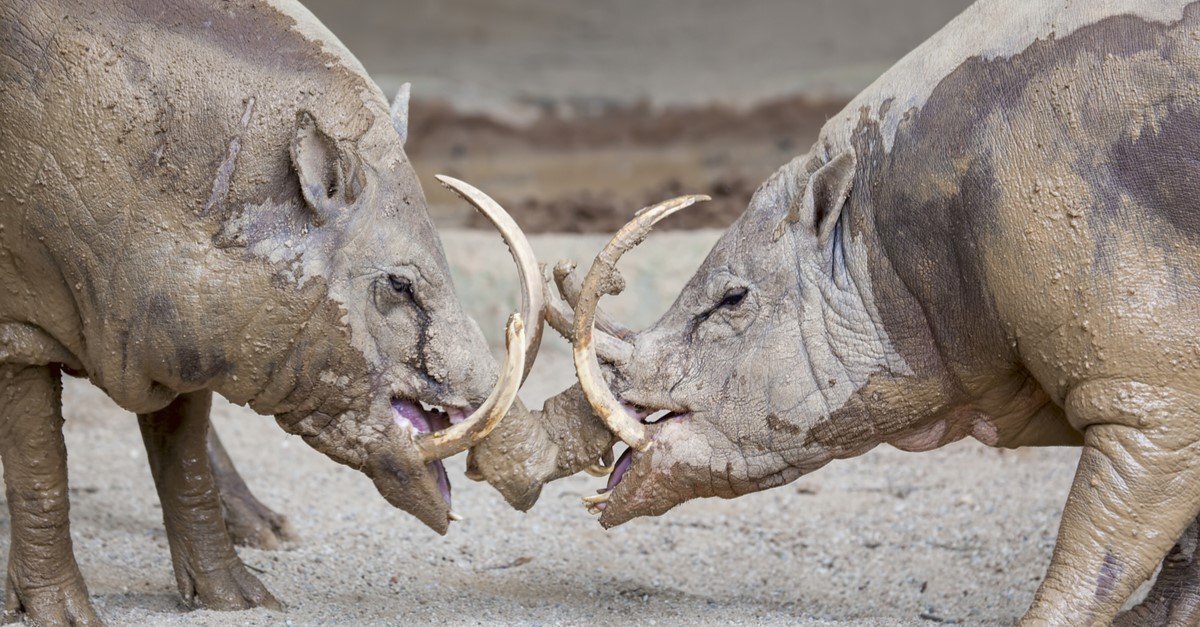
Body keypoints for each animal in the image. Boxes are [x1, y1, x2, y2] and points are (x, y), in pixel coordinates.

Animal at [0, 0, 545, 623]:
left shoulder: (183, 336)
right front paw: (59, 613)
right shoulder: (23, 327)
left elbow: (185, 462)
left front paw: (240, 600)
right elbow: (41, 471)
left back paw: (270, 531)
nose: (533, 472)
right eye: (399, 285)